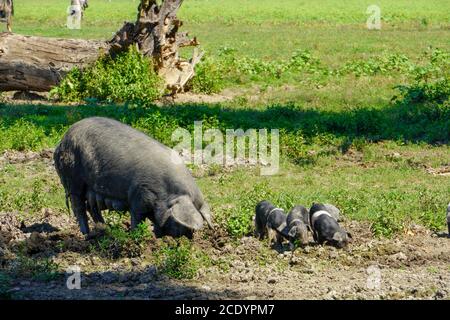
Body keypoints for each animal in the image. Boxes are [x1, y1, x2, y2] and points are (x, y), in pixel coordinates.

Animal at [54, 117, 213, 238]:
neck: (167, 193)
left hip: (90, 188)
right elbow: (137, 217)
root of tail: (61, 141)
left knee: (92, 208)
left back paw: (105, 229)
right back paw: (86, 235)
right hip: (72, 178)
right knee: (78, 207)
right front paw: (136, 235)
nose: (189, 237)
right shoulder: (140, 194)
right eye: (178, 222)